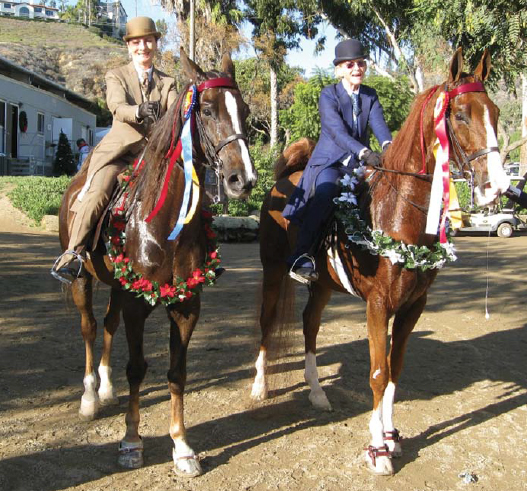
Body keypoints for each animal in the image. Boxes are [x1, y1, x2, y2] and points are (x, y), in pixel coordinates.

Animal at [57, 50, 256, 476]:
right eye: (208, 110)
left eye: (245, 110)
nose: (243, 180)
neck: (164, 222)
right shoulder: (137, 303)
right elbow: (137, 368)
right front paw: (131, 442)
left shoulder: (186, 304)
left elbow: (177, 372)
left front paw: (182, 447)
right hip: (83, 280)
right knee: (90, 328)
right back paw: (90, 397)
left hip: (119, 285)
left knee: (108, 325)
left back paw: (106, 386)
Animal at [252, 48, 512, 474]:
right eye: (460, 114)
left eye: (495, 112)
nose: (498, 187)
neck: (398, 212)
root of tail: (287, 175)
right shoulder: (378, 305)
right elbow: (377, 372)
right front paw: (377, 450)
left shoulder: (412, 307)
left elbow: (395, 370)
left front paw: (391, 437)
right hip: (273, 271)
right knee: (267, 321)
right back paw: (259, 386)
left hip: (323, 284)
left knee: (310, 325)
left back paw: (317, 393)